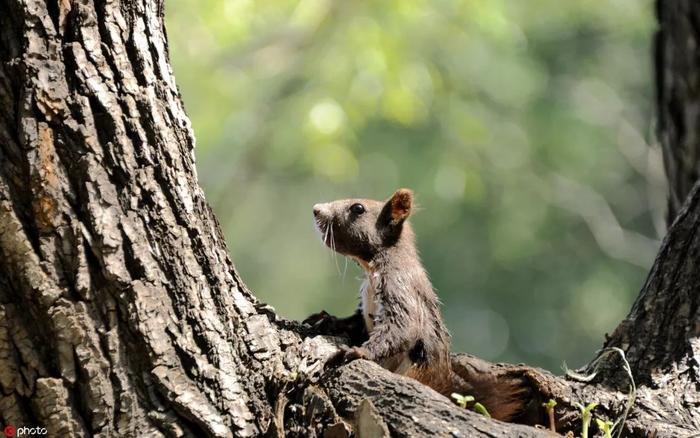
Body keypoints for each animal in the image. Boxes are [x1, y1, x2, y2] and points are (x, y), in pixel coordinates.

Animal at [306, 190, 532, 422]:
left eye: (358, 208)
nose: (316, 209)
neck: (371, 269)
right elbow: (355, 322)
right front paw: (326, 320)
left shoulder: (401, 287)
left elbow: (402, 327)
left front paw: (359, 352)